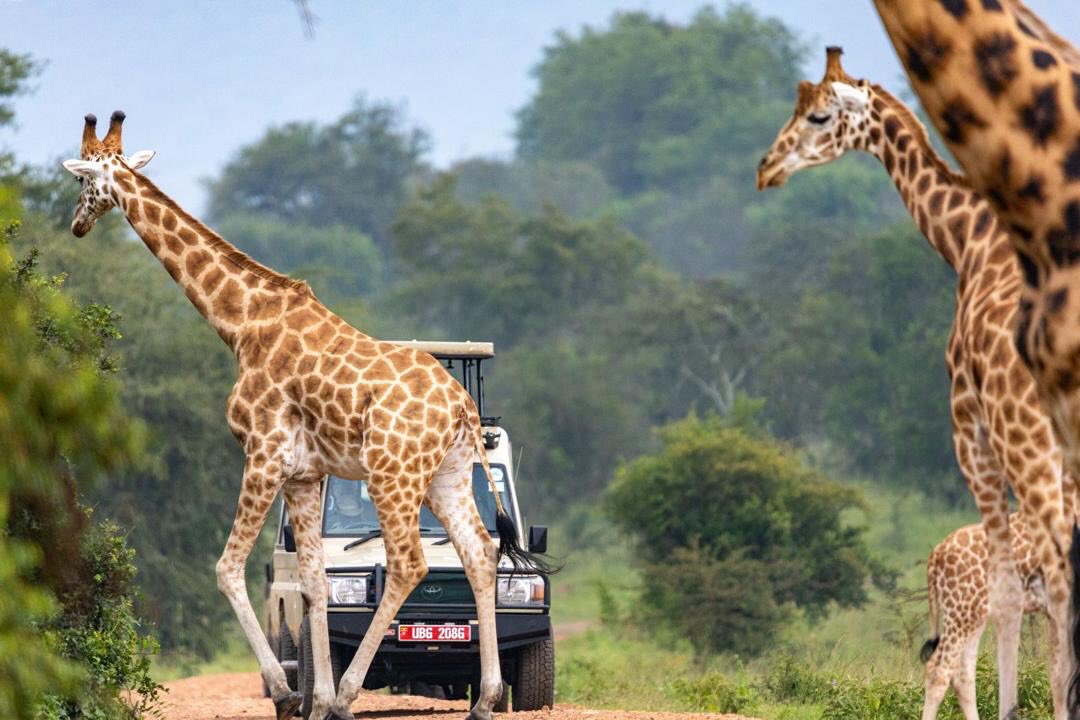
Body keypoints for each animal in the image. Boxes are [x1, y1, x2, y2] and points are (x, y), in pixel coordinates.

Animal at [61, 111, 550, 720]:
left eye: (82, 181)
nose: (76, 225)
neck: (240, 323)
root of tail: (461, 404)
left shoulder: (263, 452)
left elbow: (226, 568)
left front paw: (292, 694)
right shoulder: (303, 473)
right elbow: (314, 583)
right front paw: (314, 700)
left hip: (392, 473)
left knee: (410, 562)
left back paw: (349, 695)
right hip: (449, 474)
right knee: (480, 553)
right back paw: (482, 700)